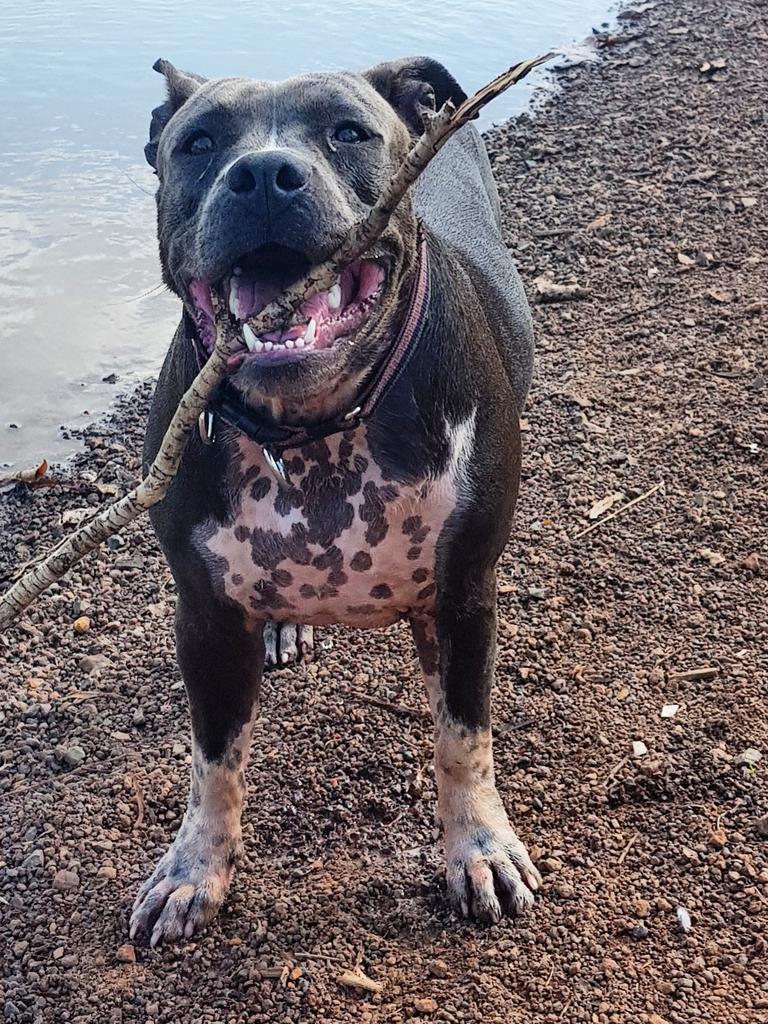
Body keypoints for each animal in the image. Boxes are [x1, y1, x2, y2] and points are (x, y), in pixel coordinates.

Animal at [132, 56, 536, 946]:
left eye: (347, 132)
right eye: (200, 142)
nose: (262, 175)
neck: (311, 427)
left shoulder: (463, 599)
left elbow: (463, 741)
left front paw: (479, 848)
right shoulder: (204, 618)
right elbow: (212, 763)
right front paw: (193, 869)